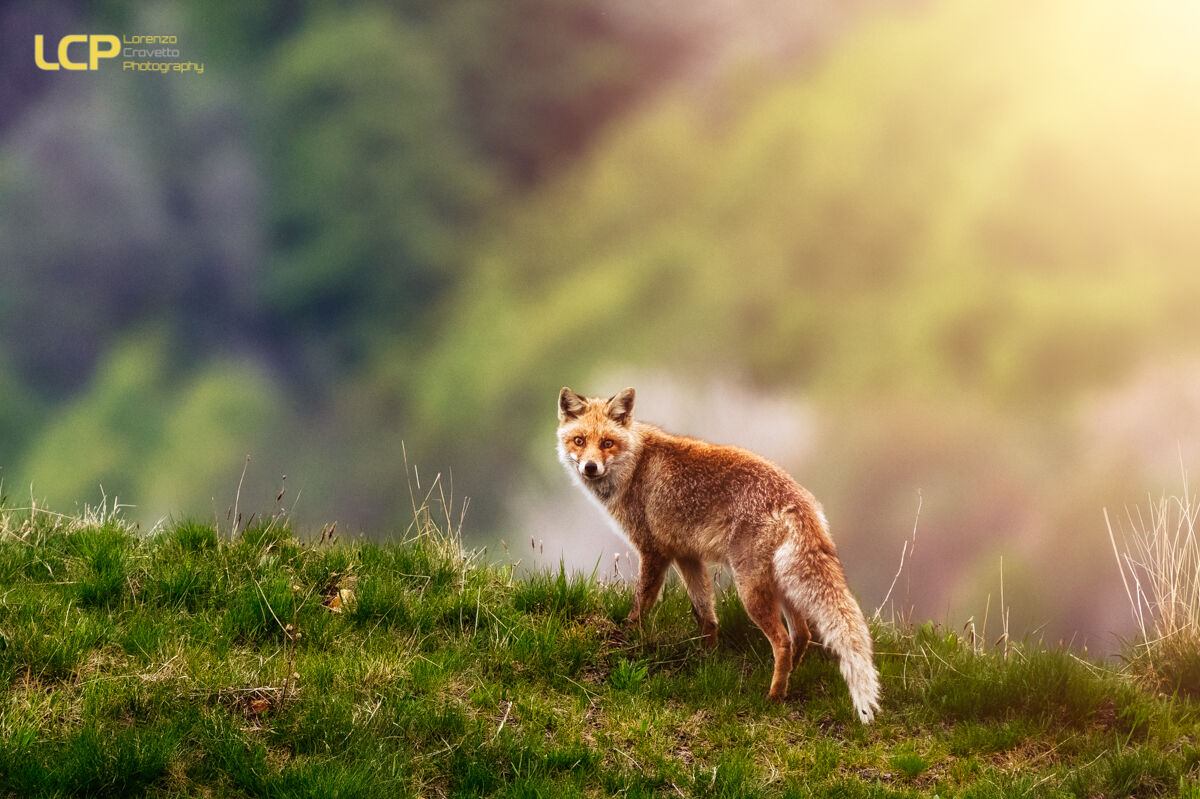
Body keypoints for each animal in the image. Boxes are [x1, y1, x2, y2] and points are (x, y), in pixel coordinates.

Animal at [557, 386, 880, 723]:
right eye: (579, 441)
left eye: (607, 443)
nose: (590, 467)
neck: (635, 467)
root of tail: (796, 498)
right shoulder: (686, 556)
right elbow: (705, 615)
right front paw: (706, 659)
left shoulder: (654, 552)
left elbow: (640, 605)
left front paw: (626, 638)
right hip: (781, 584)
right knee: (801, 635)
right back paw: (791, 676)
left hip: (750, 589)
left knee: (782, 641)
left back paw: (775, 696)